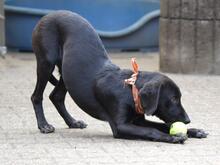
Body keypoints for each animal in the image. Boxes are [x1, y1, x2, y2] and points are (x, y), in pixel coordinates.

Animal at [31, 10, 208, 143]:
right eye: (173, 99)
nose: (187, 120)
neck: (131, 90)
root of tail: (49, 15)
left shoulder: (139, 120)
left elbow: (161, 125)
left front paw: (193, 131)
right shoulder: (120, 126)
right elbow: (152, 130)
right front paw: (173, 137)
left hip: (67, 74)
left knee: (56, 96)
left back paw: (72, 122)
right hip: (46, 62)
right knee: (36, 96)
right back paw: (44, 125)